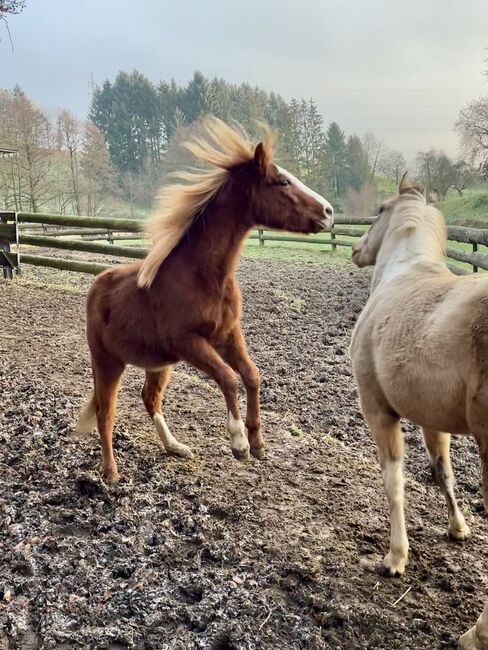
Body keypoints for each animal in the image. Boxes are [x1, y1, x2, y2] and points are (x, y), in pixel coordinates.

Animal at [76, 116, 336, 480]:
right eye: (282, 181)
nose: (328, 211)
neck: (203, 277)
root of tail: (98, 285)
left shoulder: (227, 334)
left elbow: (251, 375)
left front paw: (258, 443)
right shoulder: (188, 342)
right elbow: (228, 377)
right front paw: (239, 444)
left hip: (157, 363)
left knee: (149, 398)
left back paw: (176, 447)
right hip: (107, 361)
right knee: (105, 412)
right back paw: (110, 473)